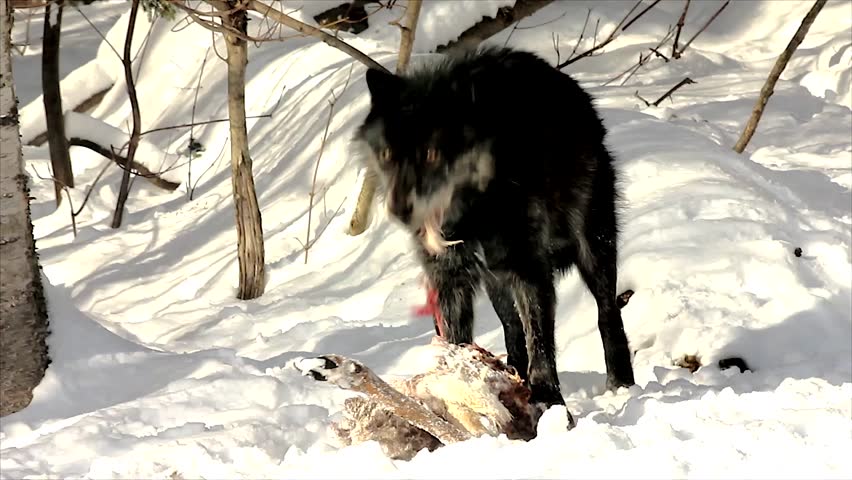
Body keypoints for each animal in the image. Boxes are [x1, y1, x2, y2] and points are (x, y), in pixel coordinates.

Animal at [353, 46, 635, 424]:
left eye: (431, 154)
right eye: (386, 154)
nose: (399, 210)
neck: (472, 213)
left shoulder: (530, 270)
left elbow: (541, 345)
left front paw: (550, 403)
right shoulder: (450, 281)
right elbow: (458, 343)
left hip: (593, 246)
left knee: (607, 313)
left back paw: (621, 384)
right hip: (496, 282)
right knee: (513, 331)